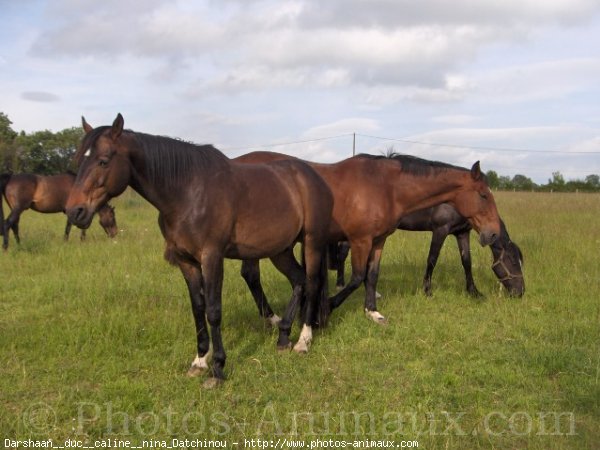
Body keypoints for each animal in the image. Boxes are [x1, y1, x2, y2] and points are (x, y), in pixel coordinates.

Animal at [68, 114, 336, 388]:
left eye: (103, 161)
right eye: (79, 160)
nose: (75, 211)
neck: (187, 193)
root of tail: (313, 176)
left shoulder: (212, 258)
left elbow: (213, 311)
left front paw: (217, 369)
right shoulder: (186, 261)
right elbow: (198, 308)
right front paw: (199, 362)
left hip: (312, 242)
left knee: (312, 283)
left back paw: (303, 341)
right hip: (279, 250)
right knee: (299, 280)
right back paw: (283, 338)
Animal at [234, 151, 502, 324]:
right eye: (483, 195)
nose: (494, 233)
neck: (385, 186)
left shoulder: (378, 240)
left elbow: (372, 276)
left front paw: (372, 311)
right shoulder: (360, 240)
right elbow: (357, 277)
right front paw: (328, 306)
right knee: (251, 275)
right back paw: (272, 317)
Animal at [332, 205, 524, 298]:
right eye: (514, 262)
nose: (520, 292)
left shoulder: (462, 233)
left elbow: (467, 262)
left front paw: (473, 292)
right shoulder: (440, 230)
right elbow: (432, 259)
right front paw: (427, 290)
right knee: (342, 254)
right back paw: (340, 284)